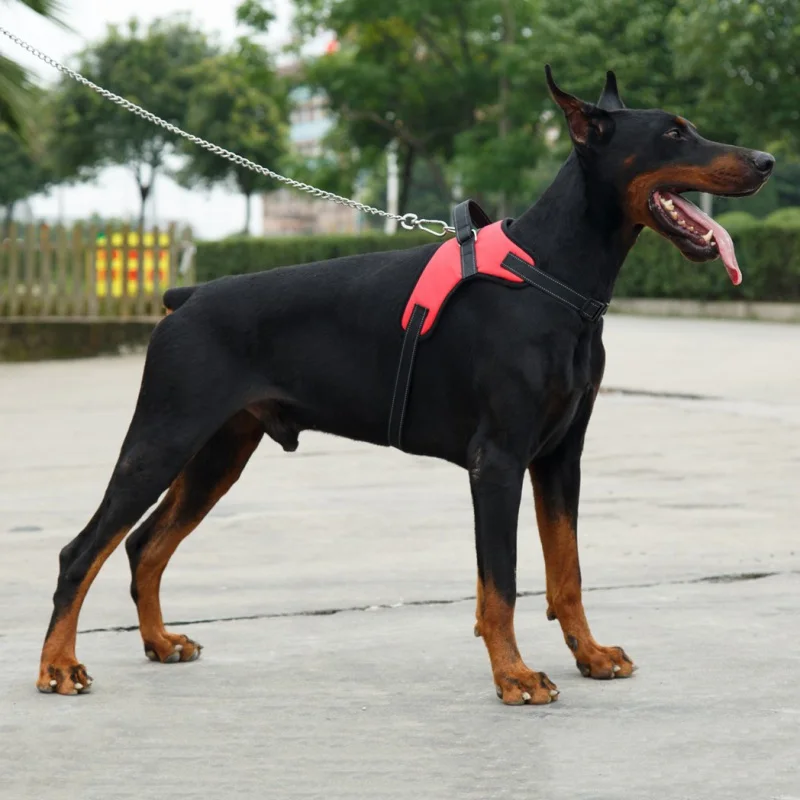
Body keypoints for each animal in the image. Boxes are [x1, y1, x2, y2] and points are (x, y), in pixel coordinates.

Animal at [37, 70, 776, 708]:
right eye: (674, 133)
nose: (767, 159)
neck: (555, 276)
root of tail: (185, 296)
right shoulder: (497, 461)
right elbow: (502, 583)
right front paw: (515, 676)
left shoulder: (562, 456)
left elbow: (566, 571)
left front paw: (589, 655)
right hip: (163, 436)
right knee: (84, 549)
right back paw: (59, 666)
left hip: (220, 450)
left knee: (144, 545)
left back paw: (160, 642)